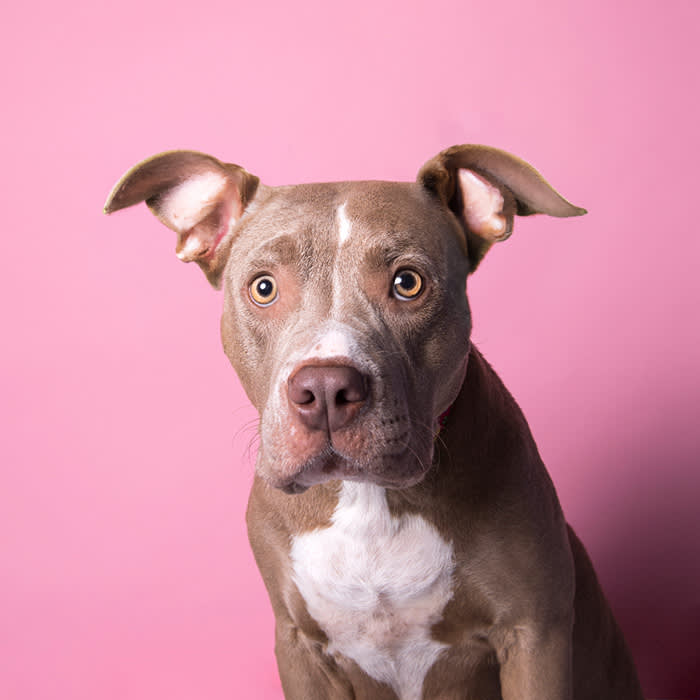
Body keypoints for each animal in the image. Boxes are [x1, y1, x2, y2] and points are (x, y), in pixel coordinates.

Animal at [105, 144, 644, 700]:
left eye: (408, 283)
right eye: (263, 288)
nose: (324, 389)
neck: (368, 499)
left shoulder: (534, 635)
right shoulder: (298, 647)